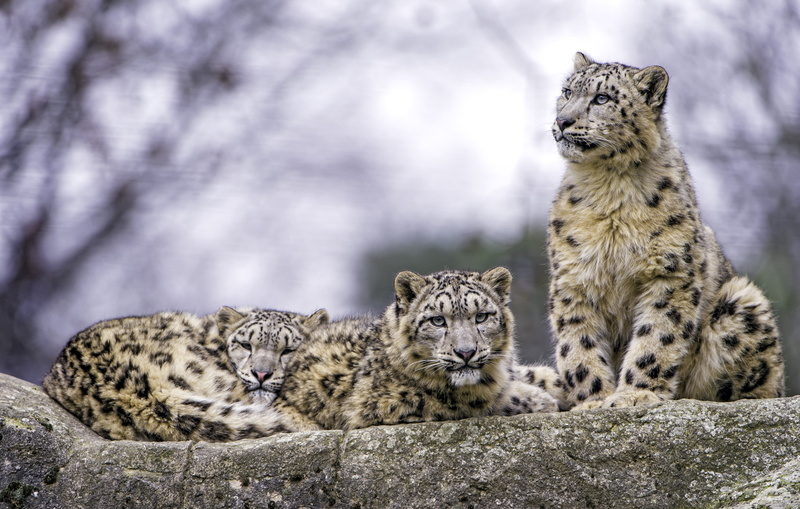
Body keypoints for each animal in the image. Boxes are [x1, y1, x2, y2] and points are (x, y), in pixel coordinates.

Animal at [267, 267, 560, 433]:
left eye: (481, 317)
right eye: (438, 320)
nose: (466, 352)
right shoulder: (394, 401)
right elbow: (482, 401)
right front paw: (541, 400)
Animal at [547, 52, 784, 411]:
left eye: (601, 99)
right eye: (566, 92)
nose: (562, 121)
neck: (608, 189)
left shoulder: (669, 273)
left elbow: (657, 336)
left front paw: (634, 395)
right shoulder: (574, 278)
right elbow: (578, 343)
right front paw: (592, 401)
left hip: (742, 301)